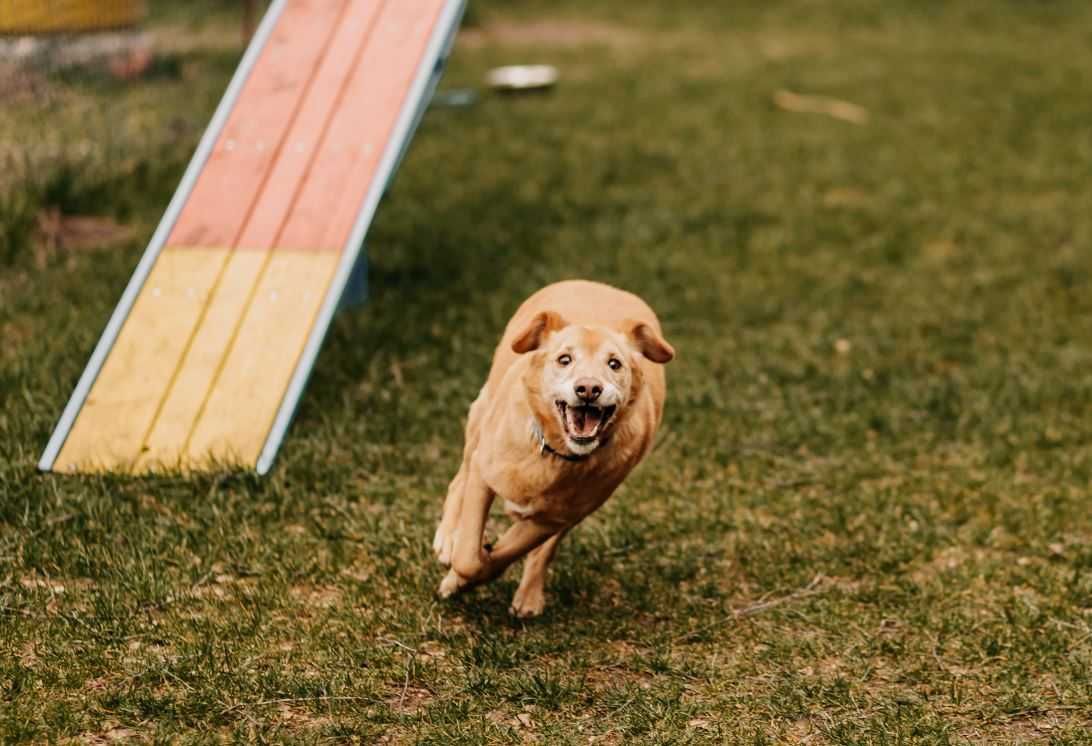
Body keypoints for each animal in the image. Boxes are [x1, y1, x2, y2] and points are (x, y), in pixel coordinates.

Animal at [428, 279, 668, 620]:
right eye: (564, 359)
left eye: (614, 364)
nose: (589, 389)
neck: (554, 452)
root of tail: (601, 286)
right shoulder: (484, 475)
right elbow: (468, 557)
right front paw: (465, 567)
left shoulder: (553, 518)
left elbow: (509, 552)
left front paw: (479, 571)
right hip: (480, 417)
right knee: (458, 479)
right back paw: (448, 536)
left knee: (544, 549)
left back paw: (529, 593)